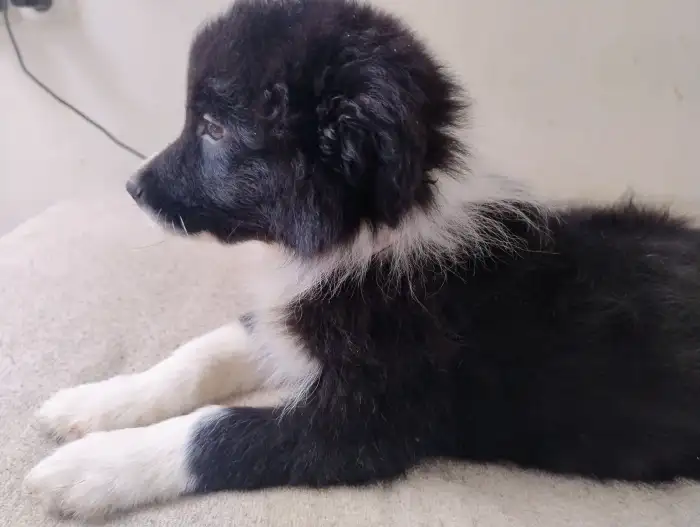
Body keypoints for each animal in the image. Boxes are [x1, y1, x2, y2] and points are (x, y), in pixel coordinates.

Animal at [25, 0, 700, 519]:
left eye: (214, 128)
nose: (132, 188)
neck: (366, 235)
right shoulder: (289, 324)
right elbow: (199, 355)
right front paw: (90, 405)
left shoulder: (364, 423)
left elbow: (217, 431)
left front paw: (85, 470)